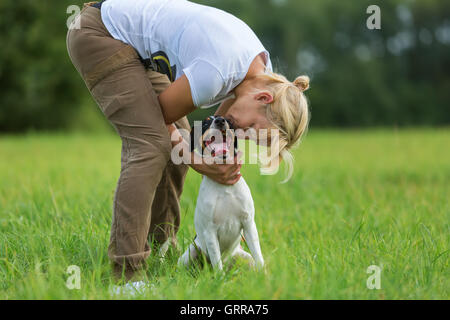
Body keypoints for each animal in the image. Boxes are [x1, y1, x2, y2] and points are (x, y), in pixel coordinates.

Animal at [178, 115, 264, 270]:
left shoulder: (248, 224)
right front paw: (219, 276)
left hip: (243, 257)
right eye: (205, 123)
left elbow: (259, 258)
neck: (225, 187)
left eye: (227, 121)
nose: (219, 121)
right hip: (190, 253)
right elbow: (217, 265)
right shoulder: (210, 231)